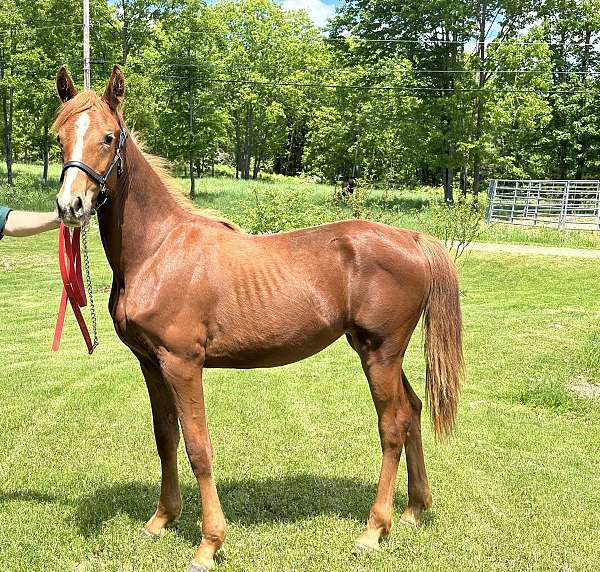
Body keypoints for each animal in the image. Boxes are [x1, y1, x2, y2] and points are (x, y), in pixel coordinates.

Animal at [52, 65, 464, 568]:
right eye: (59, 136)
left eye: (109, 137)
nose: (70, 206)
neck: (159, 250)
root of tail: (413, 238)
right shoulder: (151, 363)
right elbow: (166, 437)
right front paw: (162, 519)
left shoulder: (183, 364)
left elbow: (199, 448)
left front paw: (209, 543)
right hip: (382, 351)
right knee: (415, 410)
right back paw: (413, 510)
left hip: (380, 353)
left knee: (393, 425)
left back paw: (374, 528)